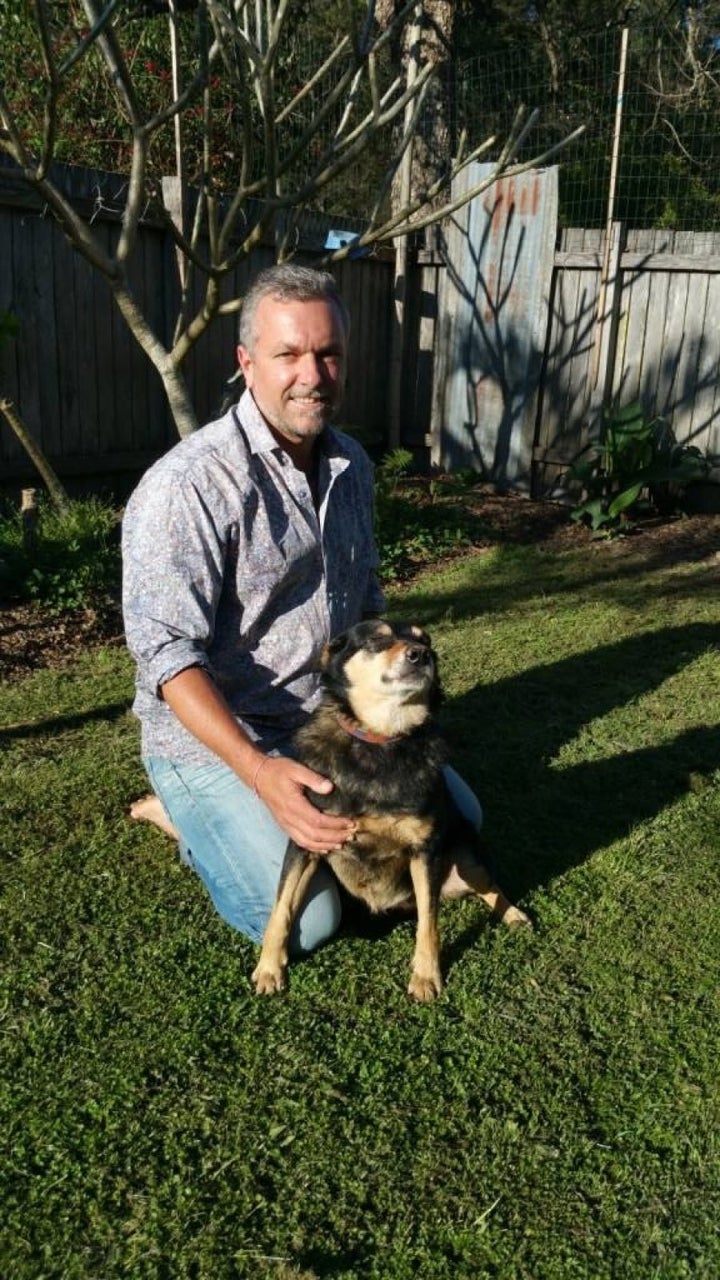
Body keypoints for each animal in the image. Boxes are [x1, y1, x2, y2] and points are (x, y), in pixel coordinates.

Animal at [251, 619, 527, 998]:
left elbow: (429, 922)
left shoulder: (424, 850)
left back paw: (514, 915)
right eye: (377, 638)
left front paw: (425, 976)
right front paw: (268, 968)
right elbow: (280, 910)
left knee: (489, 885)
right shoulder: (306, 841)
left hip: (466, 856)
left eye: (426, 639)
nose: (422, 654)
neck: (379, 738)